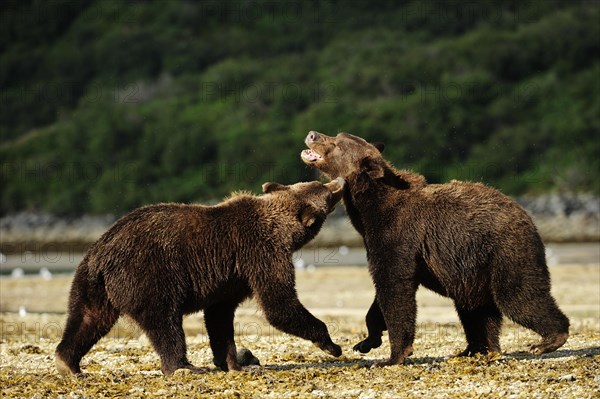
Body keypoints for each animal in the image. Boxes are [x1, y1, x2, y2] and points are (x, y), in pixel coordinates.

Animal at [54, 180, 344, 376]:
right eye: (327, 193)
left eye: (319, 184)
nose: (339, 181)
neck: (280, 228)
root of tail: (102, 254)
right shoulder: (259, 252)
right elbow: (278, 303)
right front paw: (331, 344)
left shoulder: (232, 278)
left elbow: (220, 317)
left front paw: (233, 362)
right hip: (148, 273)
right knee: (164, 322)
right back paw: (183, 366)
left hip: (90, 282)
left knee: (89, 318)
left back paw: (68, 363)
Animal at [302, 131, 568, 368]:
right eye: (336, 135)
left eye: (336, 143)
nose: (312, 134)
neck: (369, 210)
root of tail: (527, 216)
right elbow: (382, 295)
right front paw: (367, 341)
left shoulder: (398, 236)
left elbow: (395, 289)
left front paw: (392, 356)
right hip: (474, 268)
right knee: (476, 309)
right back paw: (475, 350)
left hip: (506, 251)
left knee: (517, 296)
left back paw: (546, 340)